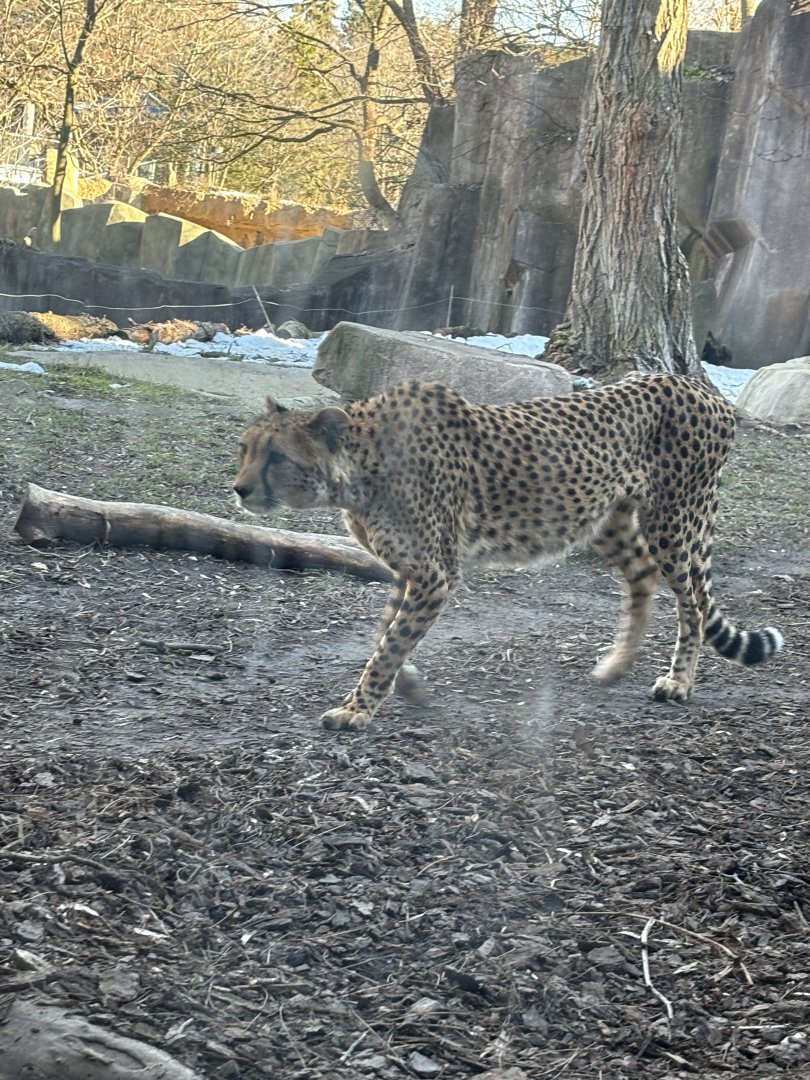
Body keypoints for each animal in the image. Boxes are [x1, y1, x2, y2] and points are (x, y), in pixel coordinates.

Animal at [234, 374, 783, 731]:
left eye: (277, 457)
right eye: (245, 448)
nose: (239, 489)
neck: (360, 469)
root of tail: (696, 385)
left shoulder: (434, 574)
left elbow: (390, 642)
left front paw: (358, 709)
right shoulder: (409, 570)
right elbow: (385, 631)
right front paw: (402, 687)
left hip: (674, 522)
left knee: (693, 604)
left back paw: (679, 682)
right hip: (605, 519)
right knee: (642, 573)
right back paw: (617, 664)